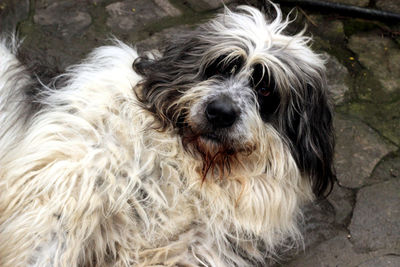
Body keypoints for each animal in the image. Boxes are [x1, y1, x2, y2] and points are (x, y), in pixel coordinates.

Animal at [0, 4, 334, 267]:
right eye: (218, 67)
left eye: (265, 88)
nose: (220, 112)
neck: (184, 163)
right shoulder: (64, 192)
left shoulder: (185, 246)